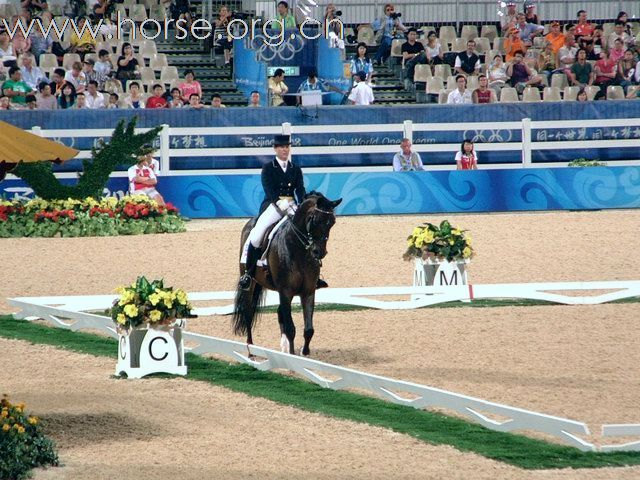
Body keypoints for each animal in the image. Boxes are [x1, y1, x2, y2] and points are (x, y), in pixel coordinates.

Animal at [232, 192, 342, 356]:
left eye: (332, 222)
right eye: (314, 220)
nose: (319, 252)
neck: (298, 251)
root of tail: (250, 223)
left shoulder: (308, 292)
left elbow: (308, 330)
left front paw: (304, 353)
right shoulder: (285, 292)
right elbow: (291, 329)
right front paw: (292, 355)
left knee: (279, 314)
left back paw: (282, 347)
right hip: (250, 284)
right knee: (248, 312)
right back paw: (251, 350)